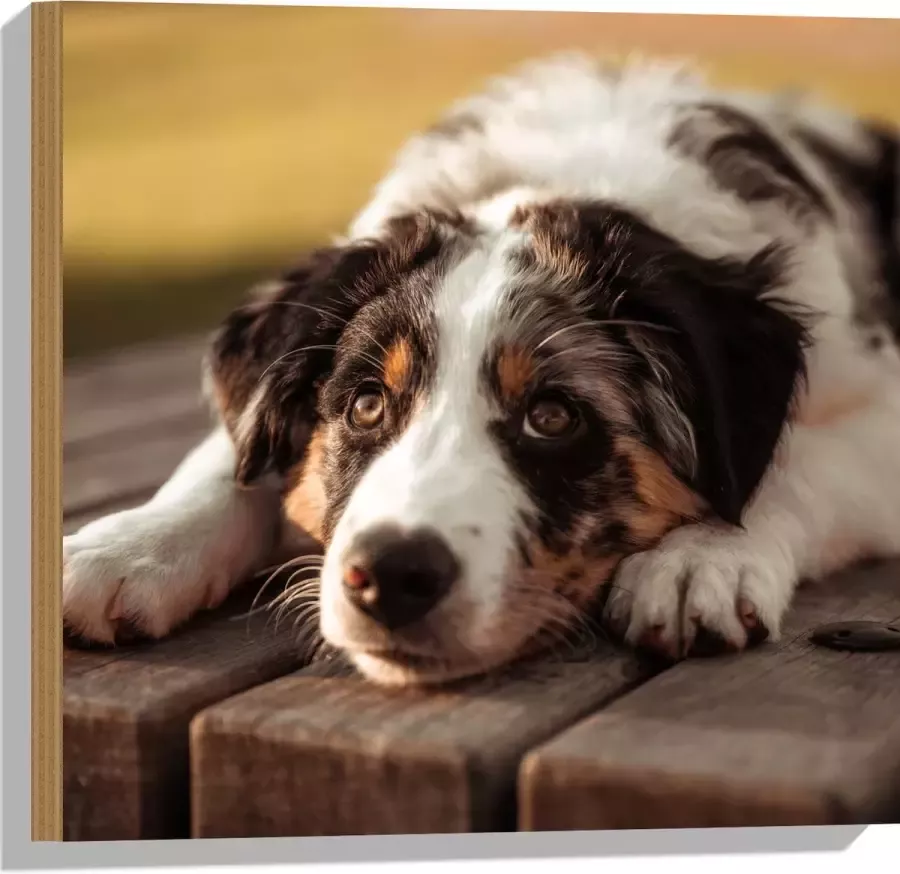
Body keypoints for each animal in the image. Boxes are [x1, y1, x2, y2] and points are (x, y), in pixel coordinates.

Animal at [65, 54, 900, 688]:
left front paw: (703, 556)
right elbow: (229, 460)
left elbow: (798, 459)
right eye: (366, 405)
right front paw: (127, 548)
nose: (390, 575)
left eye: (553, 416)